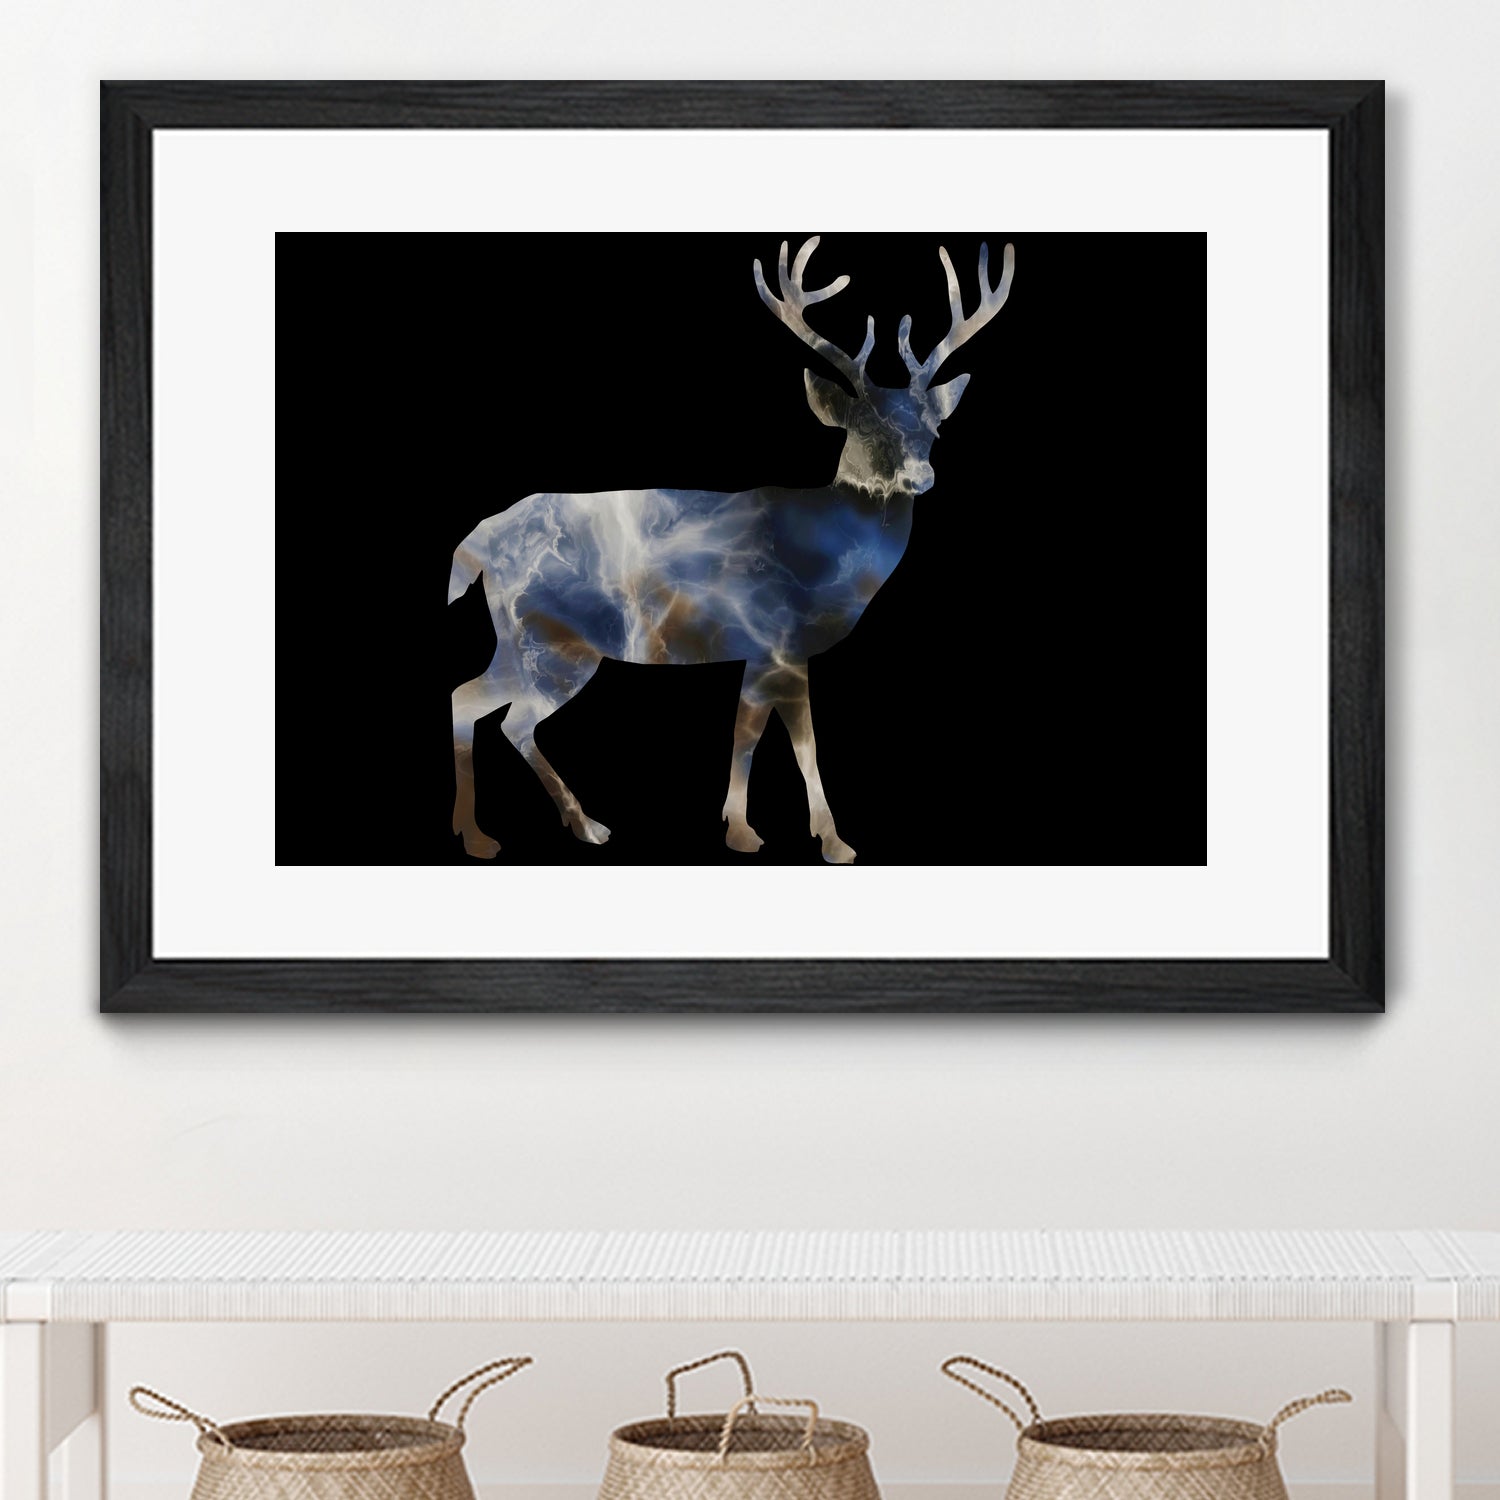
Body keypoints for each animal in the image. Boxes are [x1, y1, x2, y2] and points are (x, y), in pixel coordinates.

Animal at [448, 235, 1014, 864]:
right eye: (865, 426)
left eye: (934, 428)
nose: (922, 476)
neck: (827, 557)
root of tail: (479, 542)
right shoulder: (781, 640)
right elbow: (796, 743)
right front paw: (827, 839)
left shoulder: (760, 651)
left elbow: (747, 733)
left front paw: (740, 827)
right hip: (552, 641)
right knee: (505, 715)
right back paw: (545, 829)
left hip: (522, 639)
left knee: (473, 701)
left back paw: (520, 828)